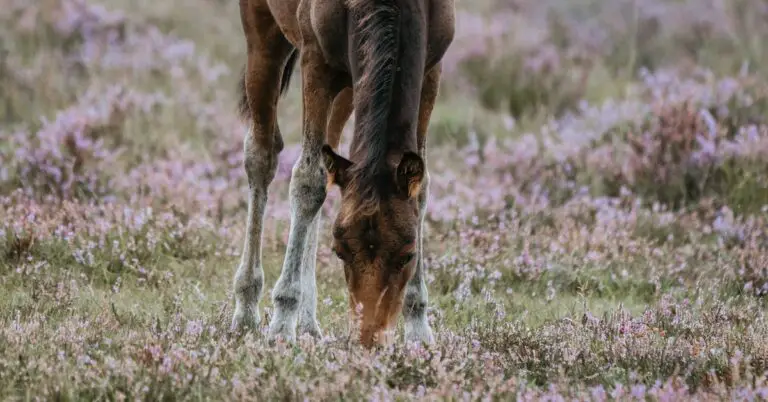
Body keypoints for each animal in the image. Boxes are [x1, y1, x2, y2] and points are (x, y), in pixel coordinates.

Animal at [230, 0, 455, 349]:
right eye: (339, 252)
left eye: (408, 255)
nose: (368, 341)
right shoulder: (316, 61)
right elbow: (307, 181)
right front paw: (281, 323)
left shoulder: (431, 69)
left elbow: (422, 189)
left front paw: (419, 330)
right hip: (263, 33)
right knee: (262, 154)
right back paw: (246, 311)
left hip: (350, 85)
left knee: (331, 156)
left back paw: (309, 324)